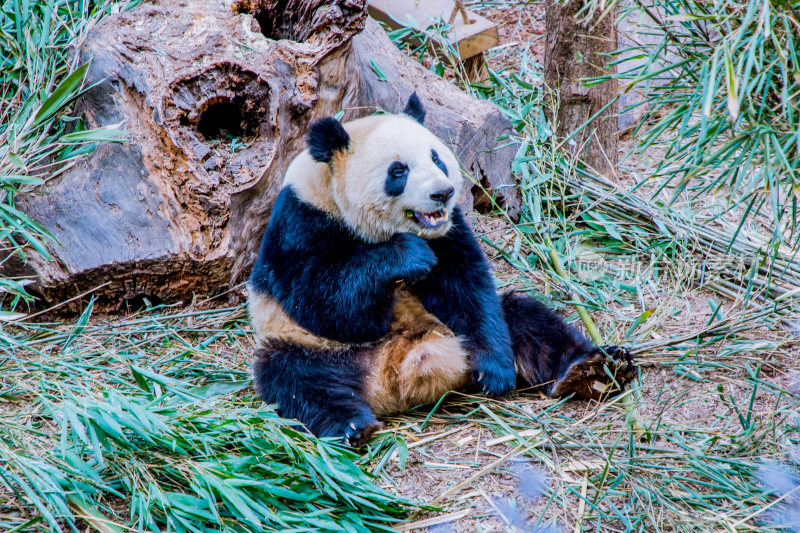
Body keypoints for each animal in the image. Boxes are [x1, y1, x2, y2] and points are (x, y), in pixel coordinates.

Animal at [247, 94, 636, 444]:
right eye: (398, 171)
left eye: (437, 158)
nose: (443, 193)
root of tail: (391, 384)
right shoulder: (300, 223)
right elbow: (327, 303)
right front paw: (407, 257)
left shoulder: (449, 230)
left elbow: (467, 286)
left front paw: (495, 372)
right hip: (310, 347)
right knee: (298, 379)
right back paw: (353, 426)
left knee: (525, 320)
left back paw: (594, 369)